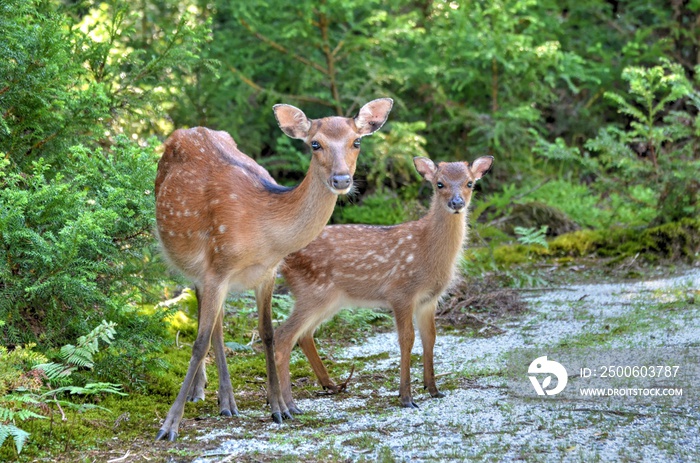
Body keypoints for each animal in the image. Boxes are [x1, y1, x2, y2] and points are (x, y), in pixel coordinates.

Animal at [154, 99, 394, 442]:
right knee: (210, 323)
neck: (265, 232)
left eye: (357, 141)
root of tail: (185, 130)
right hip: (187, 259)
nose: (341, 180)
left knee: (216, 323)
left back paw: (224, 399)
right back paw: (205, 394)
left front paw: (279, 407)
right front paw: (170, 424)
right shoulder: (218, 267)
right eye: (315, 144)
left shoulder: (267, 272)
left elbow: (267, 334)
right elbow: (200, 343)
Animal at [274, 156, 492, 414]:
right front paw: (406, 397)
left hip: (328, 299)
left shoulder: (429, 299)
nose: (456, 203)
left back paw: (330, 385)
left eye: (470, 183)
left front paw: (433, 389)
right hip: (313, 292)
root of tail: (283, 259)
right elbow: (407, 339)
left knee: (305, 334)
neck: (428, 250)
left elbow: (430, 337)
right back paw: (289, 406)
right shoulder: (401, 292)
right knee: (283, 335)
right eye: (440, 184)